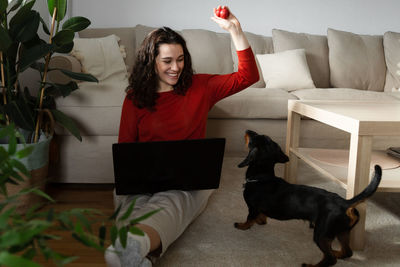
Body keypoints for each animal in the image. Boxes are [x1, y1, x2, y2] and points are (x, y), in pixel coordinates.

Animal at [236, 130, 382, 267]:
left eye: (254, 137)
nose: (248, 130)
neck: (262, 177)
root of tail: (345, 203)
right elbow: (260, 218)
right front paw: (260, 221)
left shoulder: (252, 208)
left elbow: (249, 219)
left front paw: (242, 226)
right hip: (342, 231)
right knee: (347, 252)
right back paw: (337, 252)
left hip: (321, 234)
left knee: (330, 259)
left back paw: (311, 265)